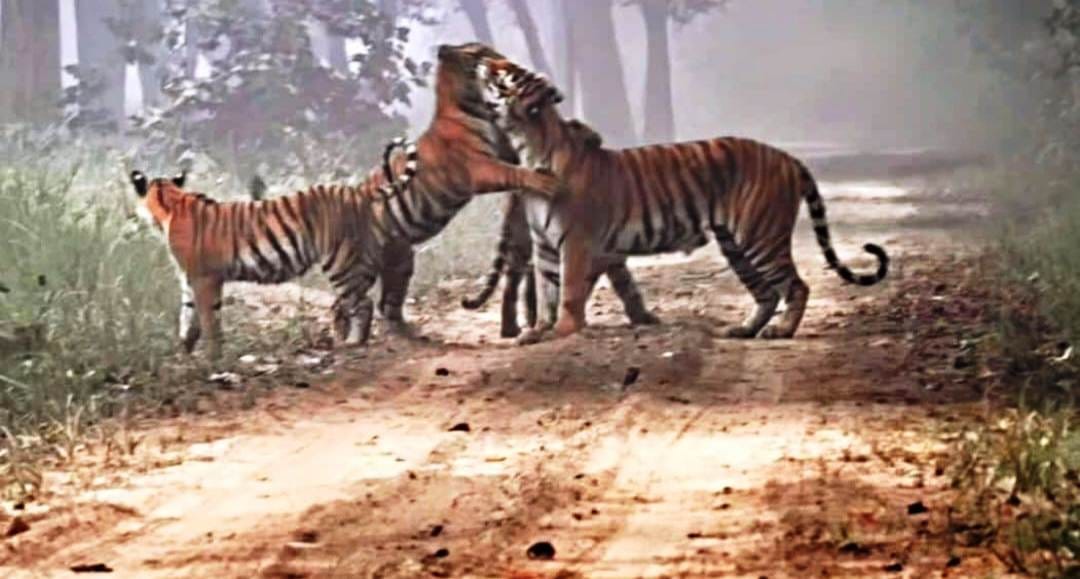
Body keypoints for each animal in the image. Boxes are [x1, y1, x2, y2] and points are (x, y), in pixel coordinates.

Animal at [475, 54, 889, 342]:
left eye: (505, 74)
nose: (484, 61)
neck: (527, 147)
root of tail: (787, 156)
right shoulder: (546, 245)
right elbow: (547, 290)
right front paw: (537, 332)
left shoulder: (576, 241)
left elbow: (570, 290)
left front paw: (562, 331)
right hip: (736, 244)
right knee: (767, 293)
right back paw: (743, 329)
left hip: (761, 237)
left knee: (795, 286)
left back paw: (782, 331)